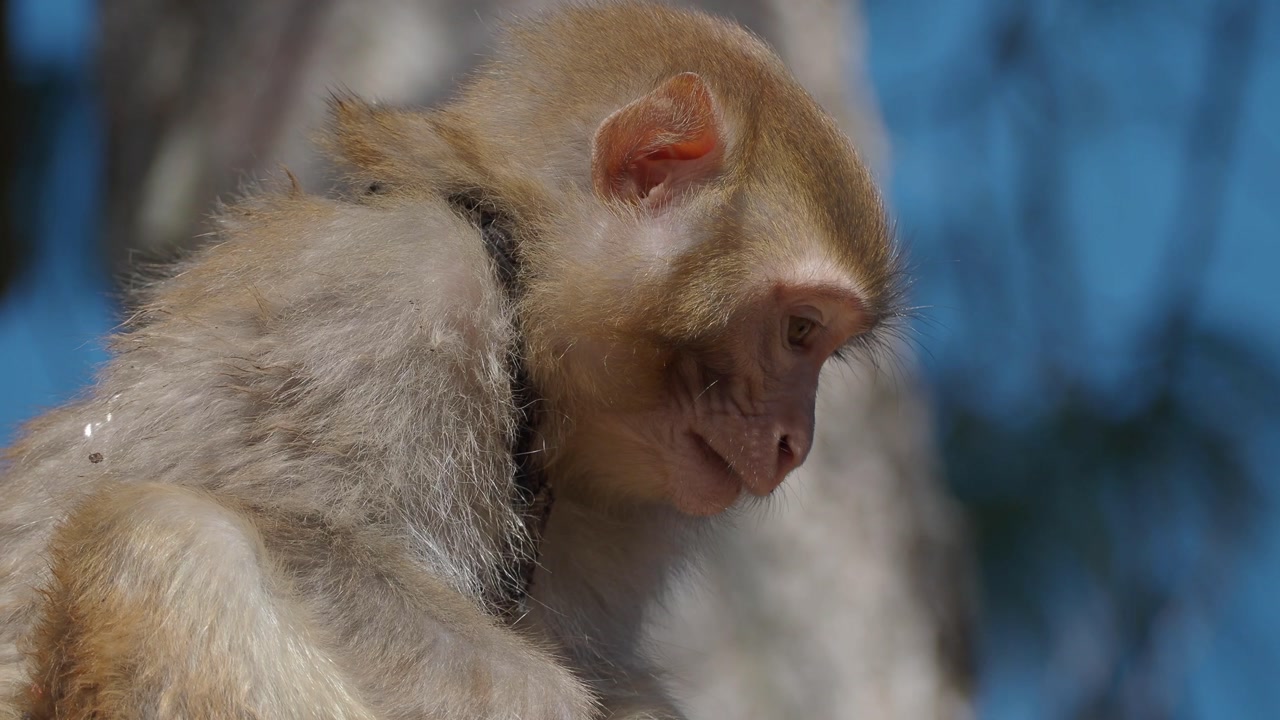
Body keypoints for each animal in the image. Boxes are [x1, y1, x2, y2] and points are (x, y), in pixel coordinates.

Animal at [0, 2, 902, 718]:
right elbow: (303, 532)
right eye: (799, 330)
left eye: (819, 343)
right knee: (165, 535)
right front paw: (550, 700)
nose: (794, 441)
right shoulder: (394, 300)